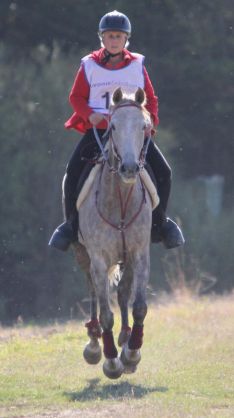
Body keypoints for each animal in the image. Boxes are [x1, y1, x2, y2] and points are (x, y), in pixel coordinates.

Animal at [73, 87, 157, 378]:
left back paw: (126, 339)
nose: (129, 168)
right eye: (112, 126)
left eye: (144, 126)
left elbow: (139, 306)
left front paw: (131, 353)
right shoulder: (98, 259)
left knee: (122, 293)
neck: (119, 200)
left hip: (126, 258)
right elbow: (105, 311)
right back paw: (94, 344)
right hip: (83, 255)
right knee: (93, 293)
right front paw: (111, 362)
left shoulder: (140, 253)